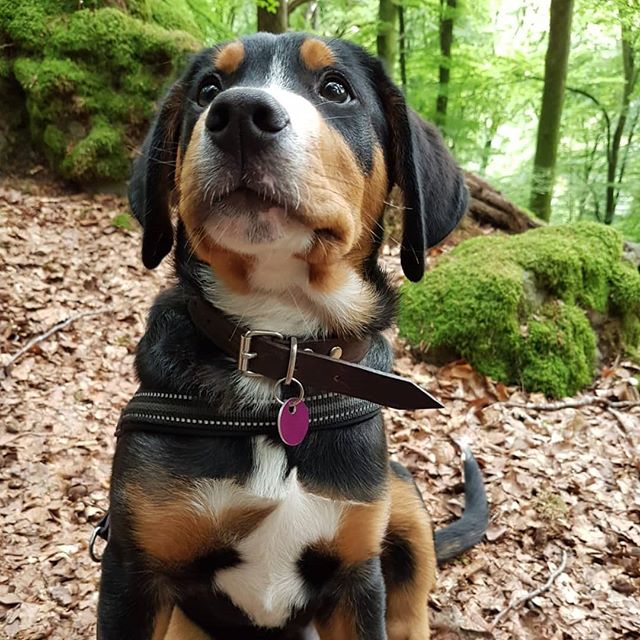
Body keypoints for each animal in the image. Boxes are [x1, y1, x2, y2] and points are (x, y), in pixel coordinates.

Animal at [95, 31, 488, 640]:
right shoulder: (134, 571)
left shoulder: (357, 575)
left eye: (336, 88)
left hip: (401, 494)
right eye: (209, 88)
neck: (282, 356)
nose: (238, 115)